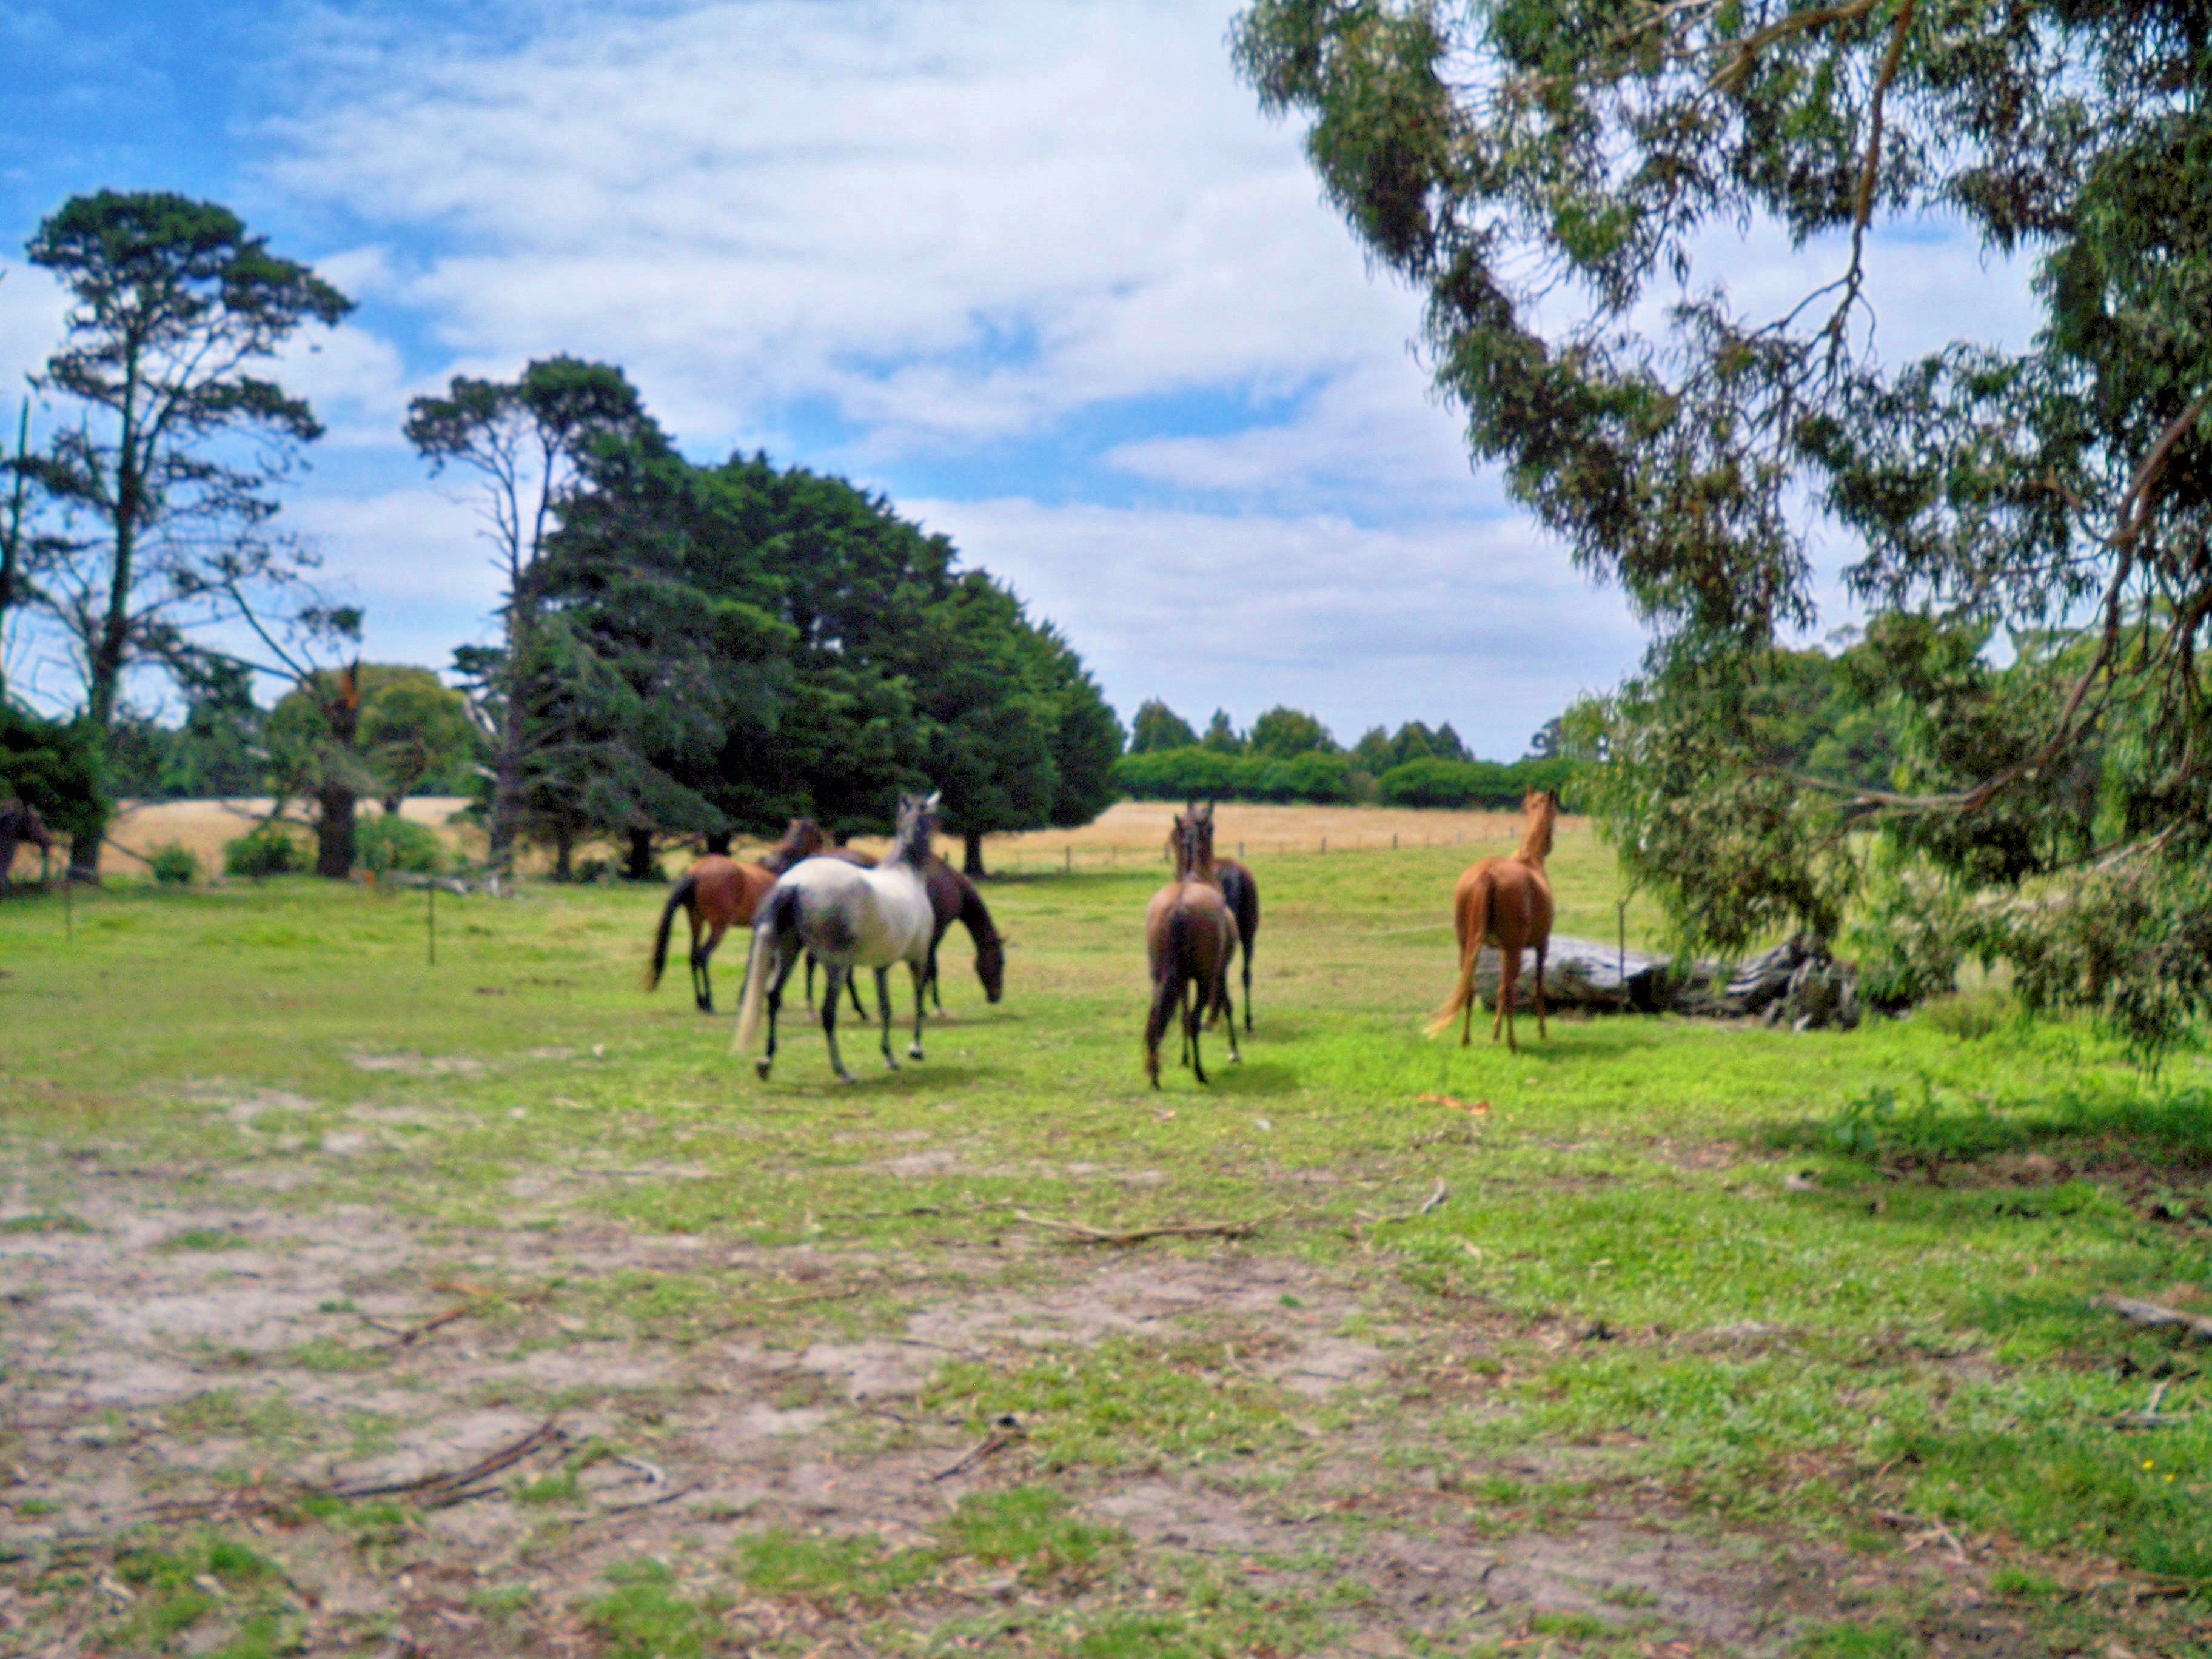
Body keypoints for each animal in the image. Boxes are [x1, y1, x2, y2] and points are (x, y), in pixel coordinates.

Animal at [644, 818, 825, 1011]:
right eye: (818, 837)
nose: (823, 854)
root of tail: (696, 872)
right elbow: (766, 962)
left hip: (696, 921)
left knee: (693, 956)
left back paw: (700, 1001)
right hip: (718, 927)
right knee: (703, 956)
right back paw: (709, 1001)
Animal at [733, 791, 941, 1083]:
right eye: (934, 820)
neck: (906, 874)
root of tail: (794, 882)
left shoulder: (881, 966)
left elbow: (885, 1008)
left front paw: (889, 1056)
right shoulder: (918, 958)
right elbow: (918, 999)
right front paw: (915, 1049)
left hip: (788, 951)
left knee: (773, 996)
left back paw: (766, 1061)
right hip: (836, 966)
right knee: (827, 1012)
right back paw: (842, 1070)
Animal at [1144, 806, 1241, 1087]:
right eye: (1212, 828)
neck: (1196, 876)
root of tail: (1179, 906)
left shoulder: (1182, 979)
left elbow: (1182, 1011)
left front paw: (1184, 1058)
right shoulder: (1220, 971)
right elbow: (1226, 1004)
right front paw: (1234, 1051)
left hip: (1161, 976)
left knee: (1161, 1015)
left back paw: (1156, 1073)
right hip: (1205, 978)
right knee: (1195, 1019)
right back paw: (1200, 1072)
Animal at [1427, 788, 1559, 1053]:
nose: (1550, 845)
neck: (1530, 861)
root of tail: (1486, 874)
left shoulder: (1499, 949)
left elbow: (1497, 988)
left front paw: (1495, 1032)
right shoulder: (1541, 945)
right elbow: (1537, 987)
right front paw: (1541, 1030)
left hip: (1469, 946)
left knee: (1470, 987)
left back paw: (1466, 1040)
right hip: (1515, 948)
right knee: (1509, 990)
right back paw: (1513, 1042)